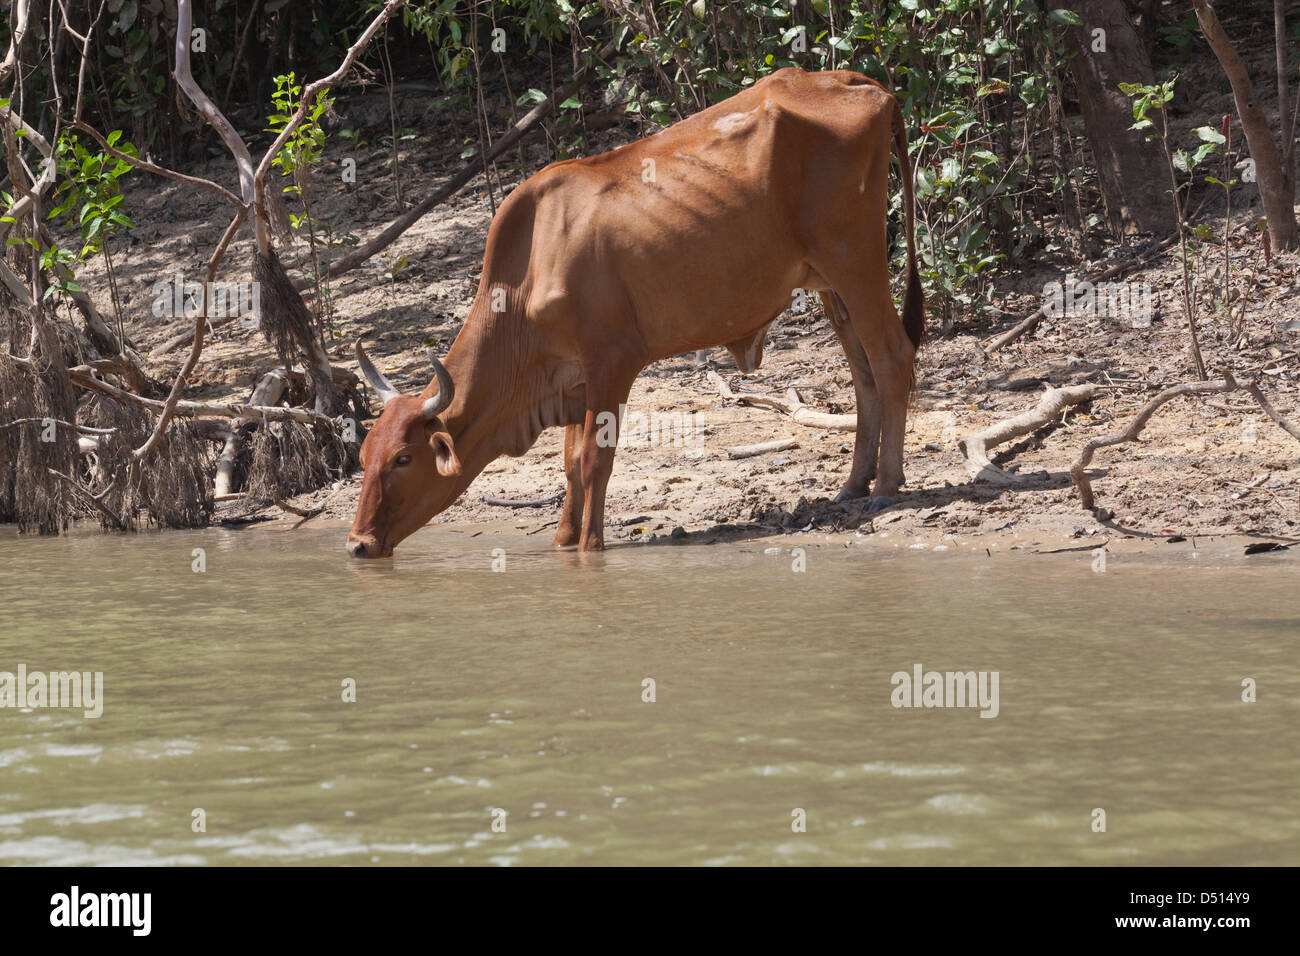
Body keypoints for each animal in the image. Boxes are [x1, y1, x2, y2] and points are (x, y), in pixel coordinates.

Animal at [345, 69, 925, 561]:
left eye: (403, 458)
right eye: (364, 455)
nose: (357, 544)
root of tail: (858, 81)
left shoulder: (612, 361)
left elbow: (593, 460)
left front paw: (589, 549)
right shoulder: (571, 380)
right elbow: (569, 465)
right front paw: (563, 542)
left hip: (855, 258)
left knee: (893, 355)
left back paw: (886, 486)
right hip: (828, 284)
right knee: (863, 373)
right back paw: (854, 482)